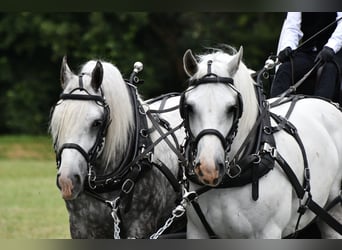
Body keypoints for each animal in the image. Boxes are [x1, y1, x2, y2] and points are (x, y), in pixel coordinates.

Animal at [180, 46, 342, 238]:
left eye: (232, 108)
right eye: (189, 107)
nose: (208, 169)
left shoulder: (268, 232)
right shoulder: (197, 232)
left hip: (334, 213)